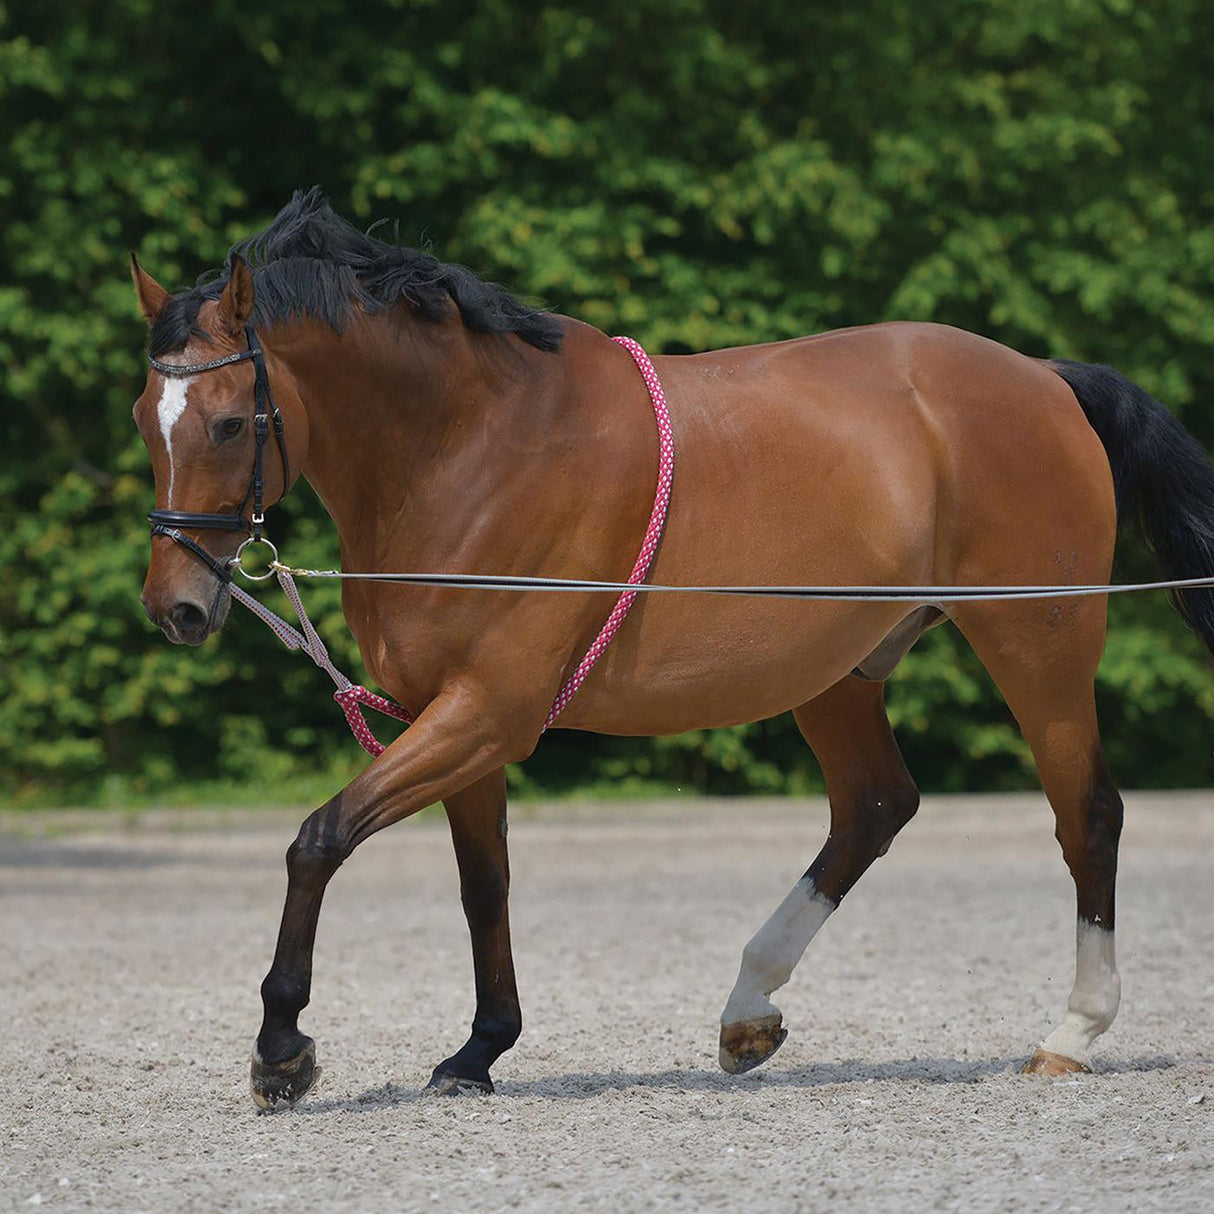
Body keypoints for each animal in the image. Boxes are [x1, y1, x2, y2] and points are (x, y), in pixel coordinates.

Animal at [132, 189, 1214, 1112]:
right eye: (148, 419)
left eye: (228, 422)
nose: (177, 606)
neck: (472, 447)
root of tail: (1044, 379)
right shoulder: (457, 719)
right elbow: (484, 884)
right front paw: (478, 1050)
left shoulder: (487, 712)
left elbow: (319, 838)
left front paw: (281, 1051)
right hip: (834, 672)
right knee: (873, 806)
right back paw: (747, 1012)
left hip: (1038, 646)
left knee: (1086, 816)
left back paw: (1071, 1032)